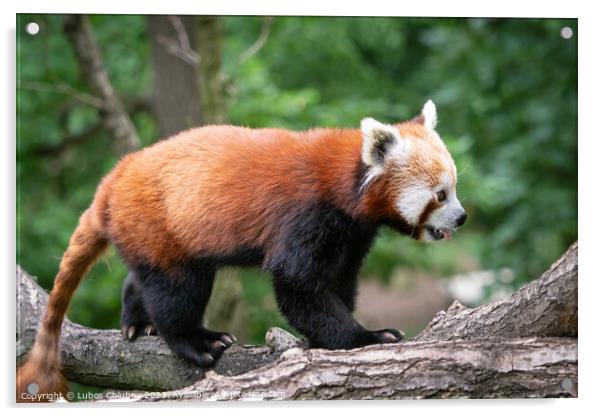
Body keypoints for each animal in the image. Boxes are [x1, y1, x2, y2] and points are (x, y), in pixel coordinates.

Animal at [14, 99, 464, 402]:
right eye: (440, 195)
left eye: (453, 188)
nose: (461, 218)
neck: (345, 184)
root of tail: (116, 176)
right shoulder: (306, 216)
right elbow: (297, 286)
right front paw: (362, 338)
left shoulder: (352, 235)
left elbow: (340, 280)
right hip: (162, 224)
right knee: (177, 289)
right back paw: (195, 340)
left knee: (141, 277)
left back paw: (137, 323)